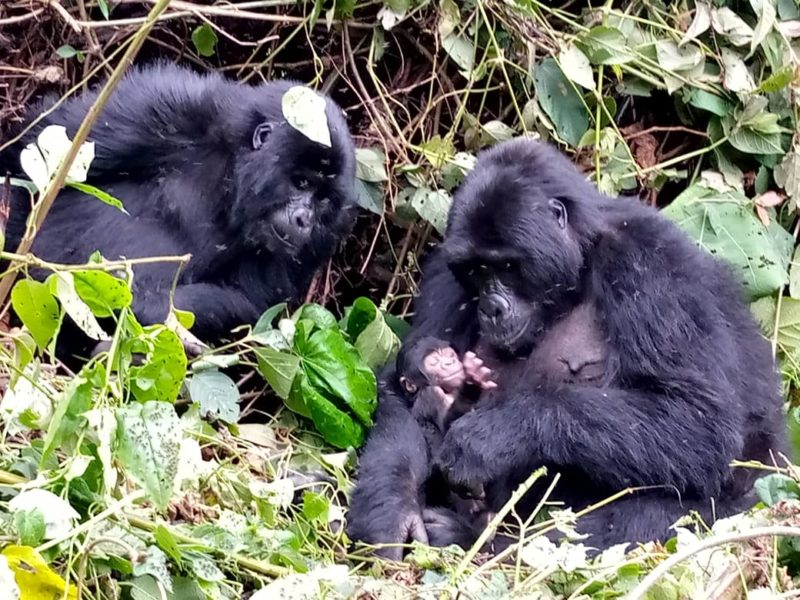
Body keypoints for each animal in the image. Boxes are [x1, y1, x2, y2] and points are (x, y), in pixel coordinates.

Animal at [0, 63, 356, 358]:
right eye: (301, 182)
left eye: (323, 199)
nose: (304, 219)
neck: (231, 177)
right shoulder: (164, 104)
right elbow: (37, 156)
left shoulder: (325, 237)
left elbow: (247, 305)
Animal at [350, 136, 788, 556]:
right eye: (477, 270)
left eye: (508, 265)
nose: (491, 308)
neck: (581, 258)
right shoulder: (445, 266)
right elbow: (399, 386)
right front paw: (392, 514)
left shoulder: (649, 258)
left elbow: (697, 421)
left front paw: (493, 435)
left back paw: (480, 539)